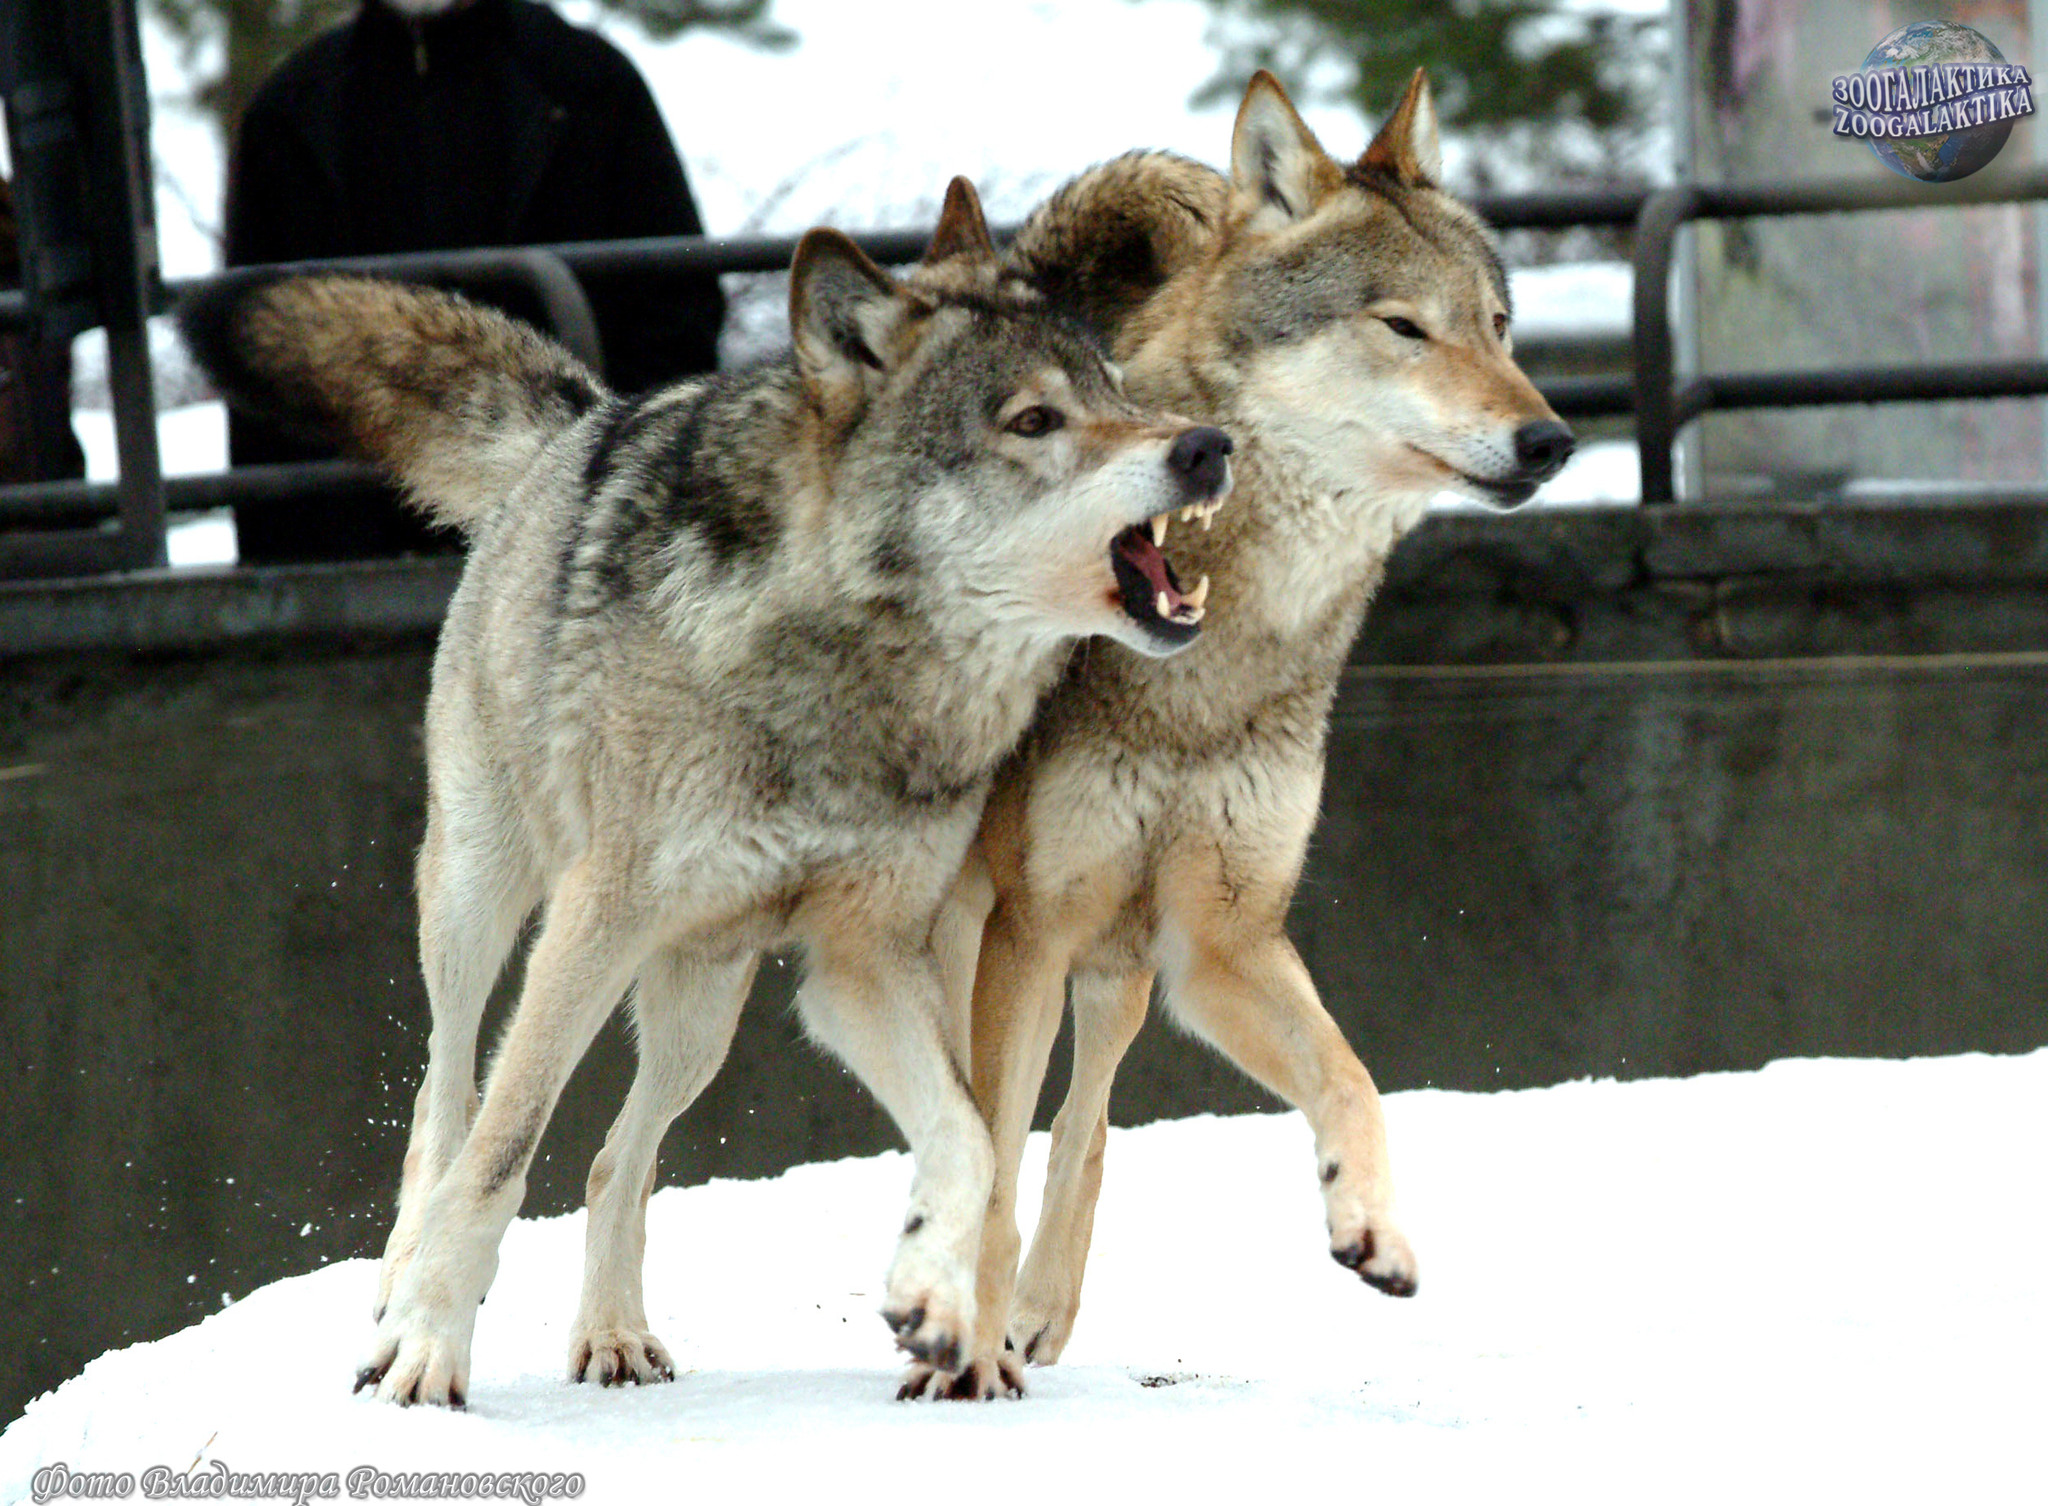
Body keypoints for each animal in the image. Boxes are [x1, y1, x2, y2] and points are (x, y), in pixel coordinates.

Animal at [180, 179, 1228, 1409]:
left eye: (1118, 393)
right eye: (1032, 423)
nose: (1208, 445)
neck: (847, 677)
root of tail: (582, 424)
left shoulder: (860, 961)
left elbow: (967, 1137)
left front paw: (930, 1293)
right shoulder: (593, 921)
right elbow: (500, 1151)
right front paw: (429, 1347)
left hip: (700, 1006)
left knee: (613, 1162)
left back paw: (613, 1335)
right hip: (483, 904)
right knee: (446, 1106)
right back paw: (400, 1290)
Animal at [888, 70, 1572, 1401]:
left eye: (1500, 325)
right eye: (1403, 328)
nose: (1550, 441)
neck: (1216, 661)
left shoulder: (1219, 937)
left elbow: (1348, 1077)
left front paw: (1370, 1225)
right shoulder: (1031, 927)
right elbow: (985, 1156)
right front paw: (966, 1362)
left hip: (1120, 962)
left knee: (1087, 1124)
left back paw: (1040, 1314)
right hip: (980, 934)